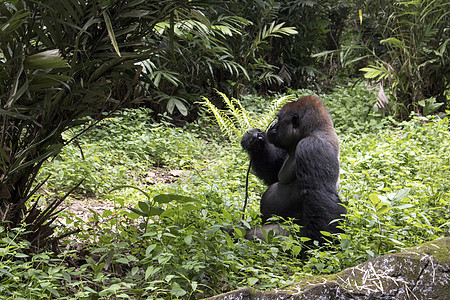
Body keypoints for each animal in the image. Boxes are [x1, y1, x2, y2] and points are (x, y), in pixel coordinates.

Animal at [241, 96, 346, 244]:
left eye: (279, 119)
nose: (272, 126)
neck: (312, 132)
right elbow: (273, 174)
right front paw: (255, 143)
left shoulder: (313, 147)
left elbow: (320, 194)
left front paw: (320, 243)